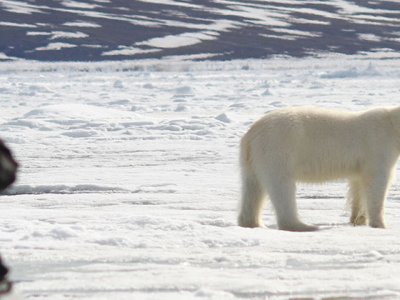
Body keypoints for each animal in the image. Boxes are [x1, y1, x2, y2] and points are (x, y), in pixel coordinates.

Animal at [239, 106, 400, 231]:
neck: (393, 125)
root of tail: (251, 134)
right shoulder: (379, 145)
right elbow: (377, 182)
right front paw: (381, 225)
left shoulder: (361, 163)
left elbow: (358, 184)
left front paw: (358, 220)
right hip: (279, 150)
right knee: (282, 187)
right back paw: (304, 226)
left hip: (254, 160)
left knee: (253, 188)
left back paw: (252, 223)